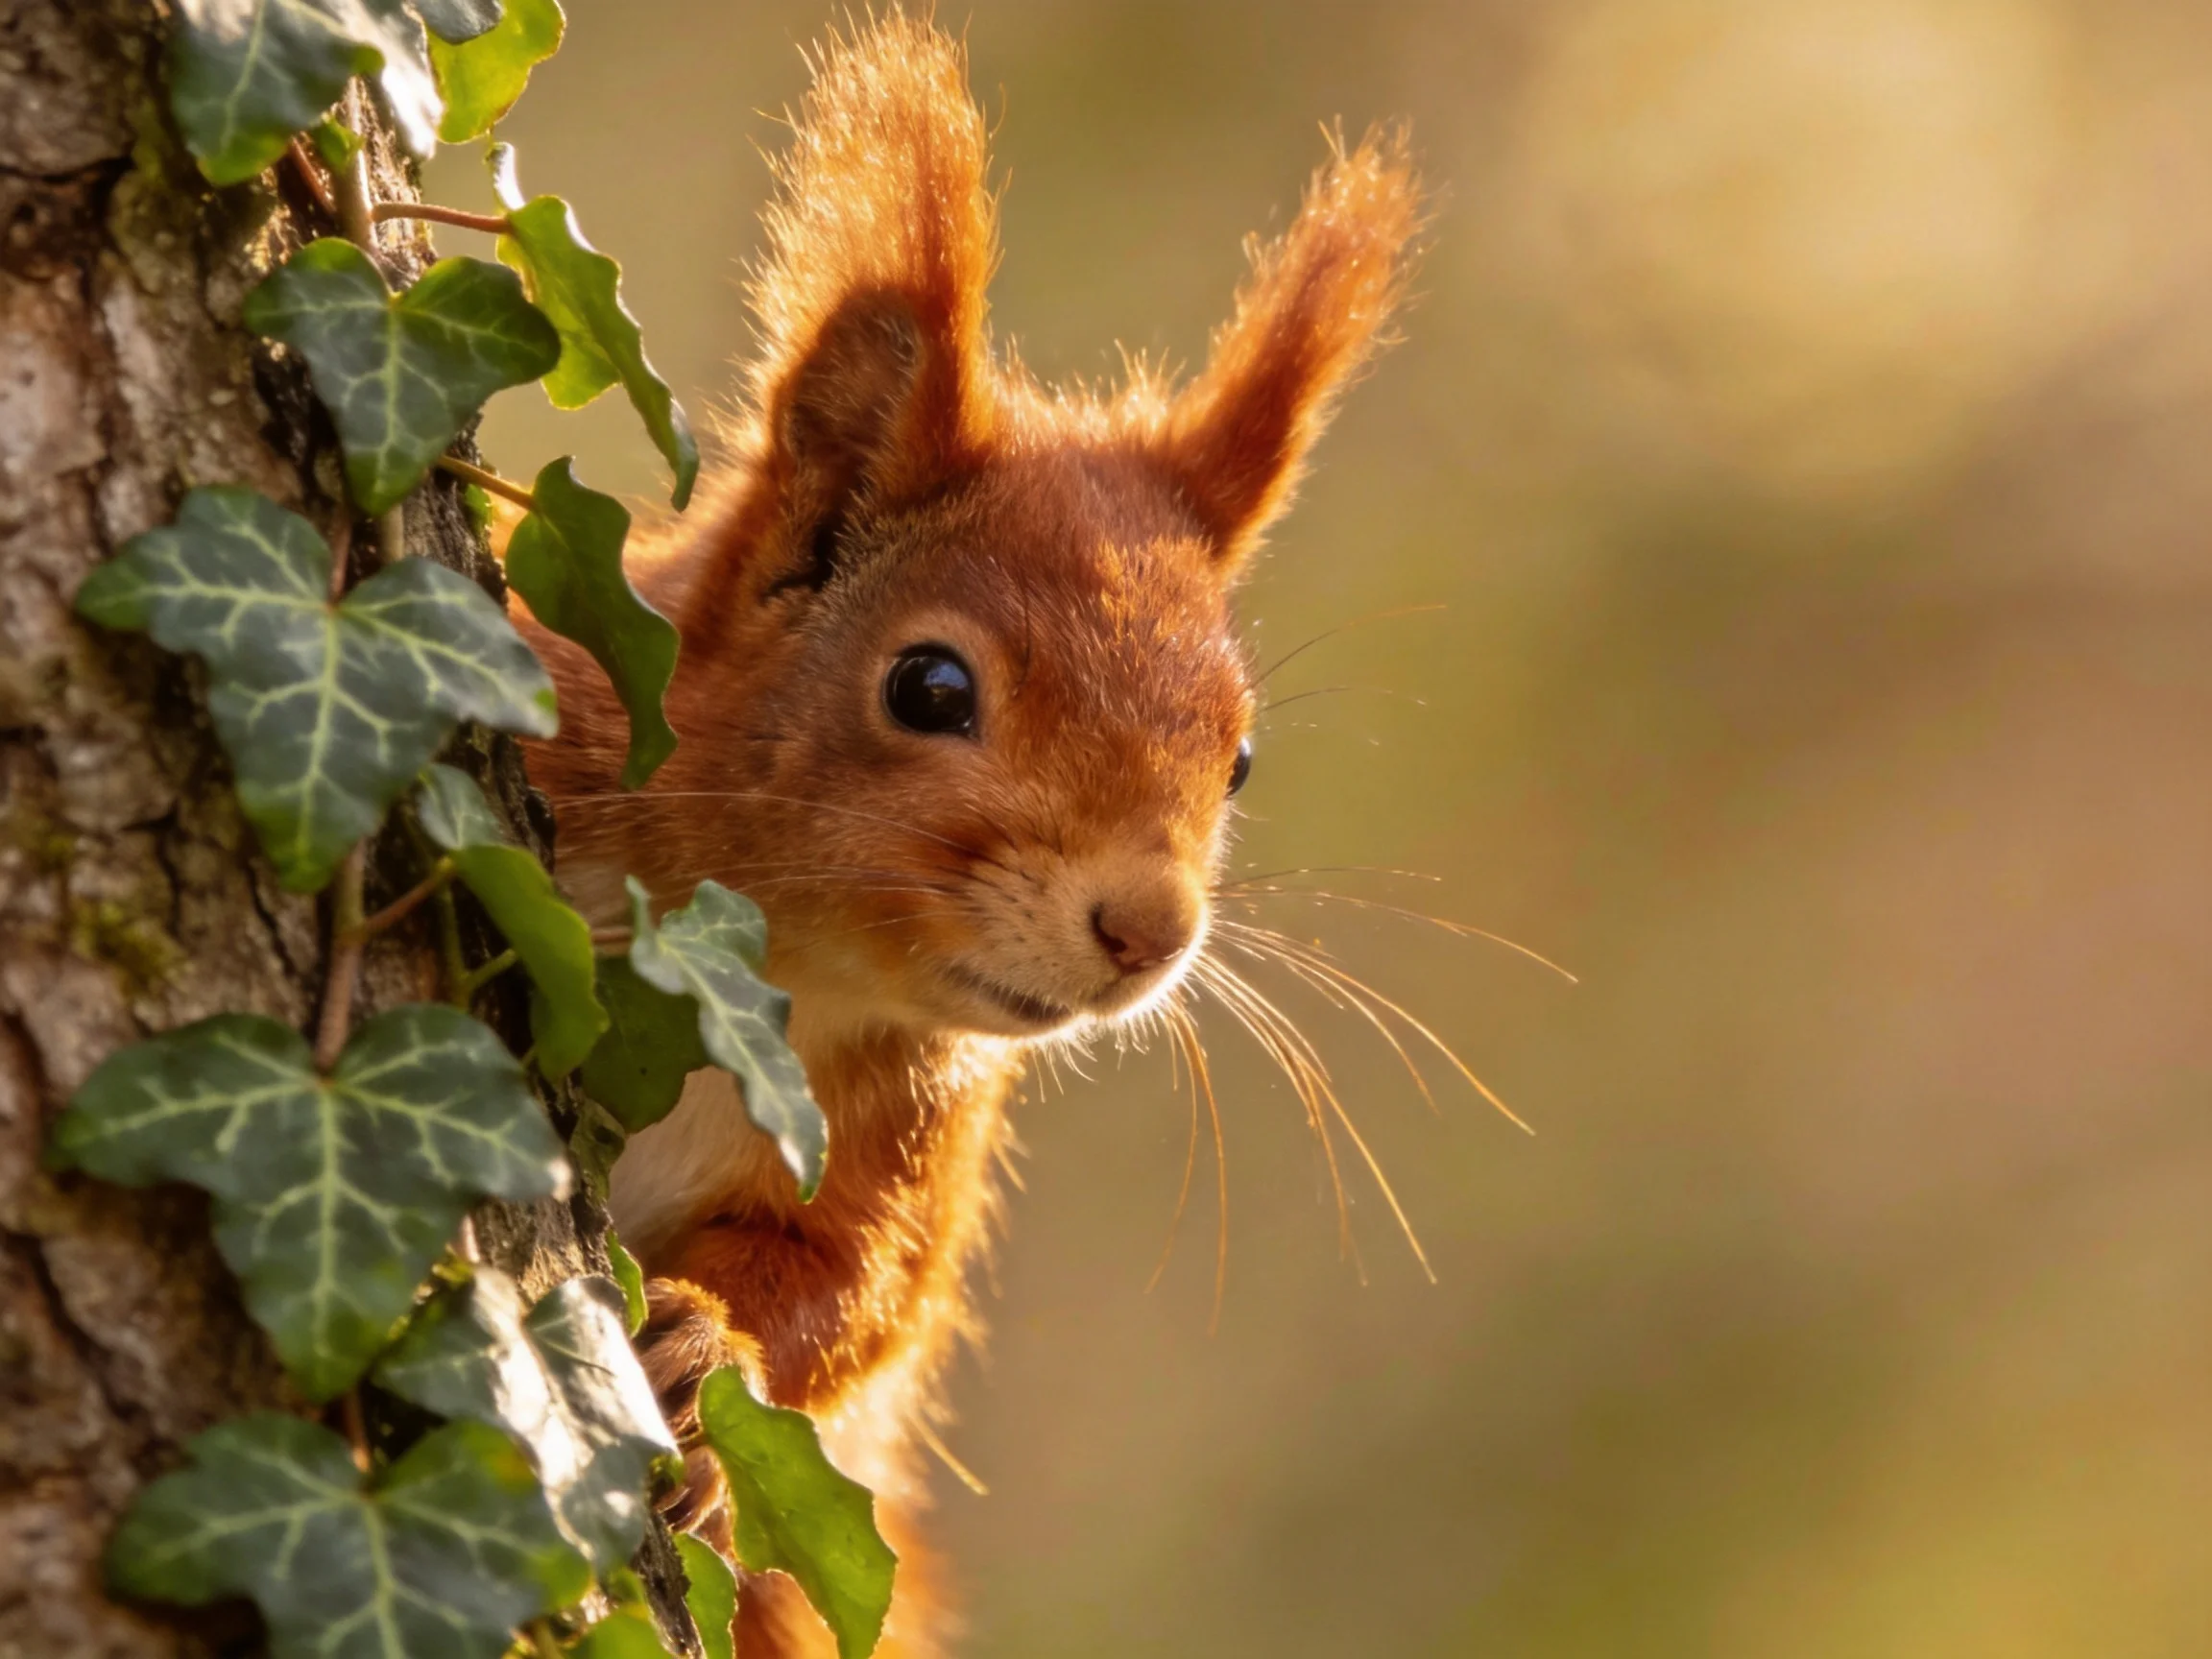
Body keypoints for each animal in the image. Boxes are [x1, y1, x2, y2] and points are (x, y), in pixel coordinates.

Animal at [523, 16, 1419, 1656]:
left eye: (1241, 758)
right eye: (929, 687)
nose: (1149, 932)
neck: (763, 969)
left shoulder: (916, 1132)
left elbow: (861, 1298)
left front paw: (703, 1347)